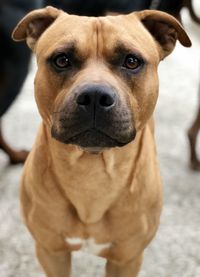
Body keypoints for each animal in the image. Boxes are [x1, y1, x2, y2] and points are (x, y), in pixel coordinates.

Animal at [12, 6, 191, 276]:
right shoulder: (51, 252)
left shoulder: (127, 259)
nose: (95, 96)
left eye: (131, 61)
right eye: (62, 60)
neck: (92, 172)